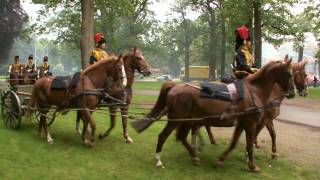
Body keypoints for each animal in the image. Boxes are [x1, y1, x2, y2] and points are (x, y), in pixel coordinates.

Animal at [132, 59, 296, 172]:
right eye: (289, 73)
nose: (293, 92)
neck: (253, 91)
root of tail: (175, 86)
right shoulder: (250, 125)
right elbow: (249, 145)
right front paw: (252, 165)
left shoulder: (242, 124)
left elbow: (233, 143)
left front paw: (221, 160)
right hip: (177, 120)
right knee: (163, 136)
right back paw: (159, 160)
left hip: (187, 120)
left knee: (183, 137)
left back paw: (194, 156)